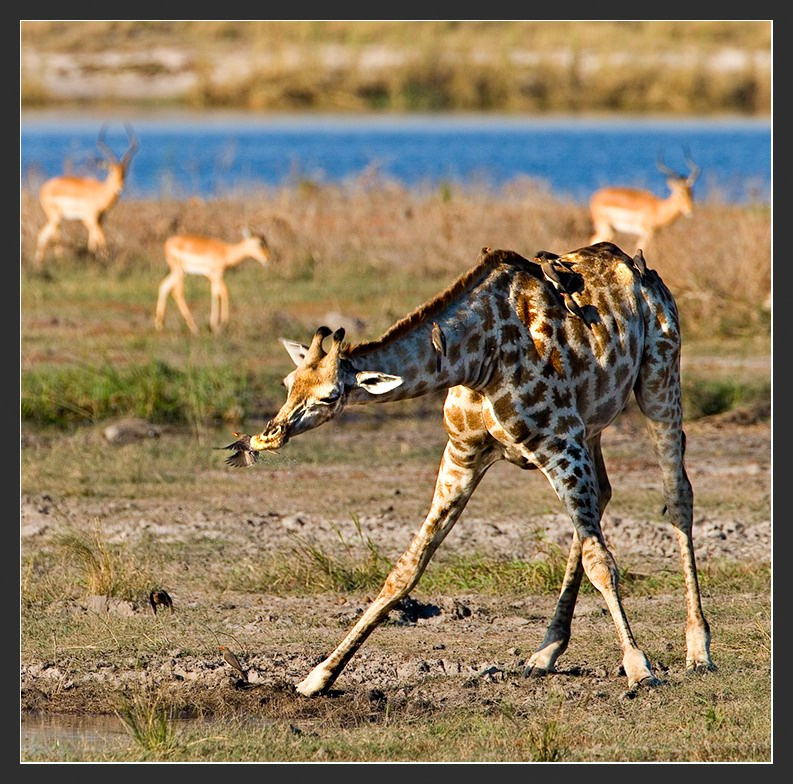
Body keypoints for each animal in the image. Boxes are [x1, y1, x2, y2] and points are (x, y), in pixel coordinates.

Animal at [231, 241, 714, 697]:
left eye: (330, 396)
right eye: (288, 383)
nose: (267, 436)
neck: (476, 358)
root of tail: (637, 266)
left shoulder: (559, 443)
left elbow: (602, 562)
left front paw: (639, 667)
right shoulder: (463, 453)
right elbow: (406, 568)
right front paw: (318, 677)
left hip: (658, 379)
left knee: (677, 494)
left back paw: (698, 648)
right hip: (591, 424)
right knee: (602, 498)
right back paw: (545, 652)